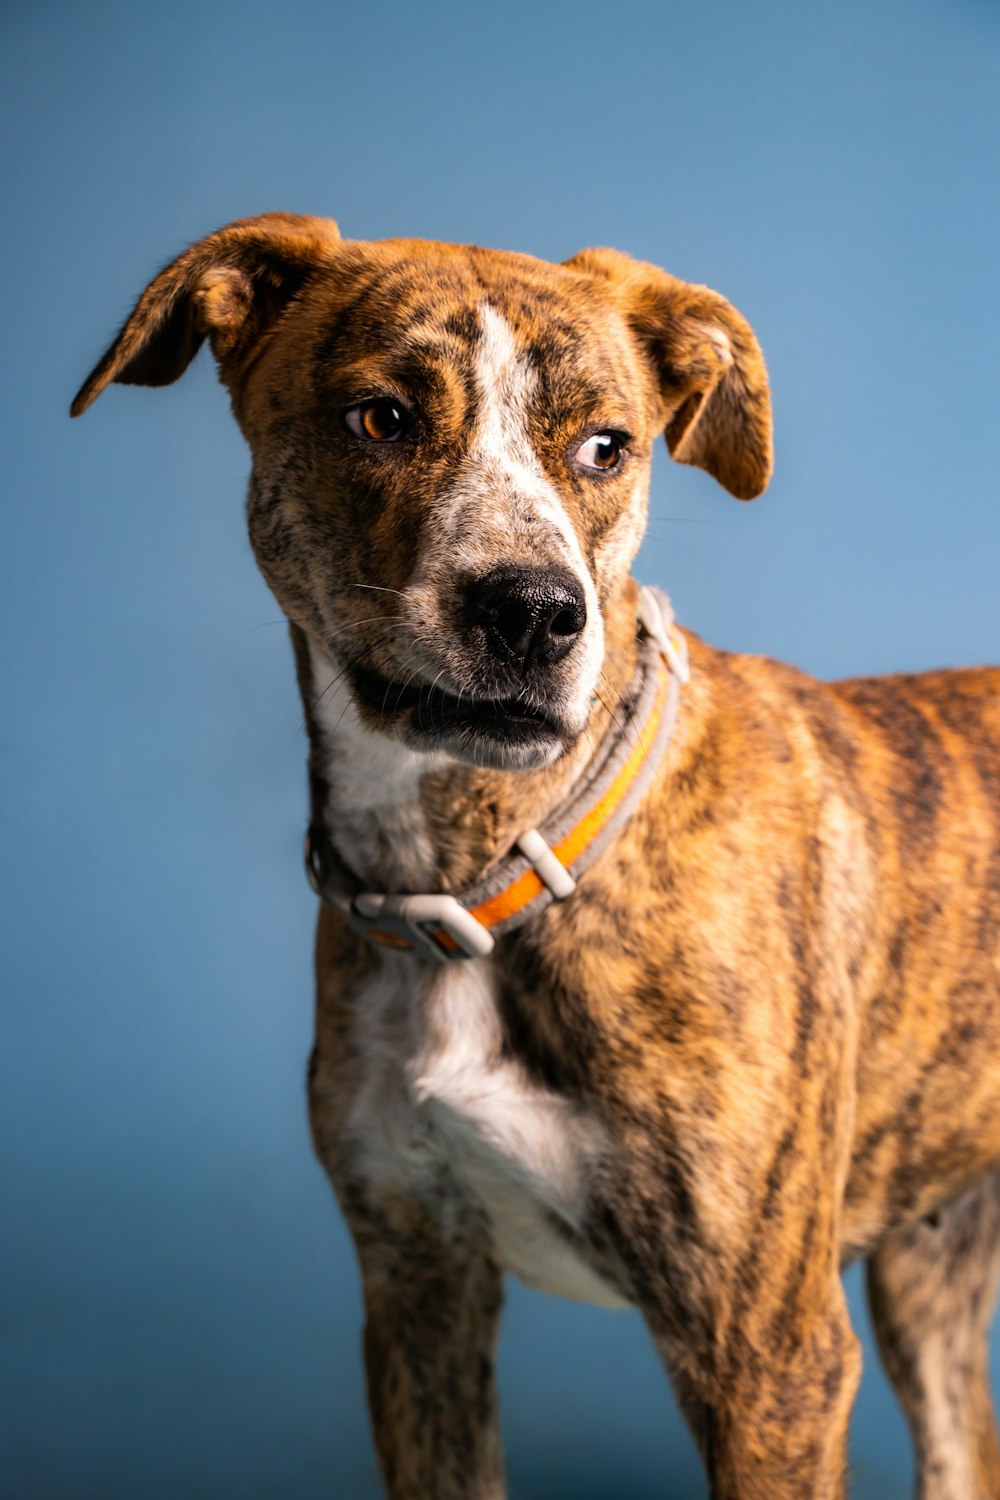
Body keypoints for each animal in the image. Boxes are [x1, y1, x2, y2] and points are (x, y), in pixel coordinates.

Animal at [72, 214, 1000, 1500]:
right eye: (381, 418)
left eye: (607, 447)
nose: (533, 611)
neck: (482, 868)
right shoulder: (418, 1293)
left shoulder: (771, 1356)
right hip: (931, 1264)